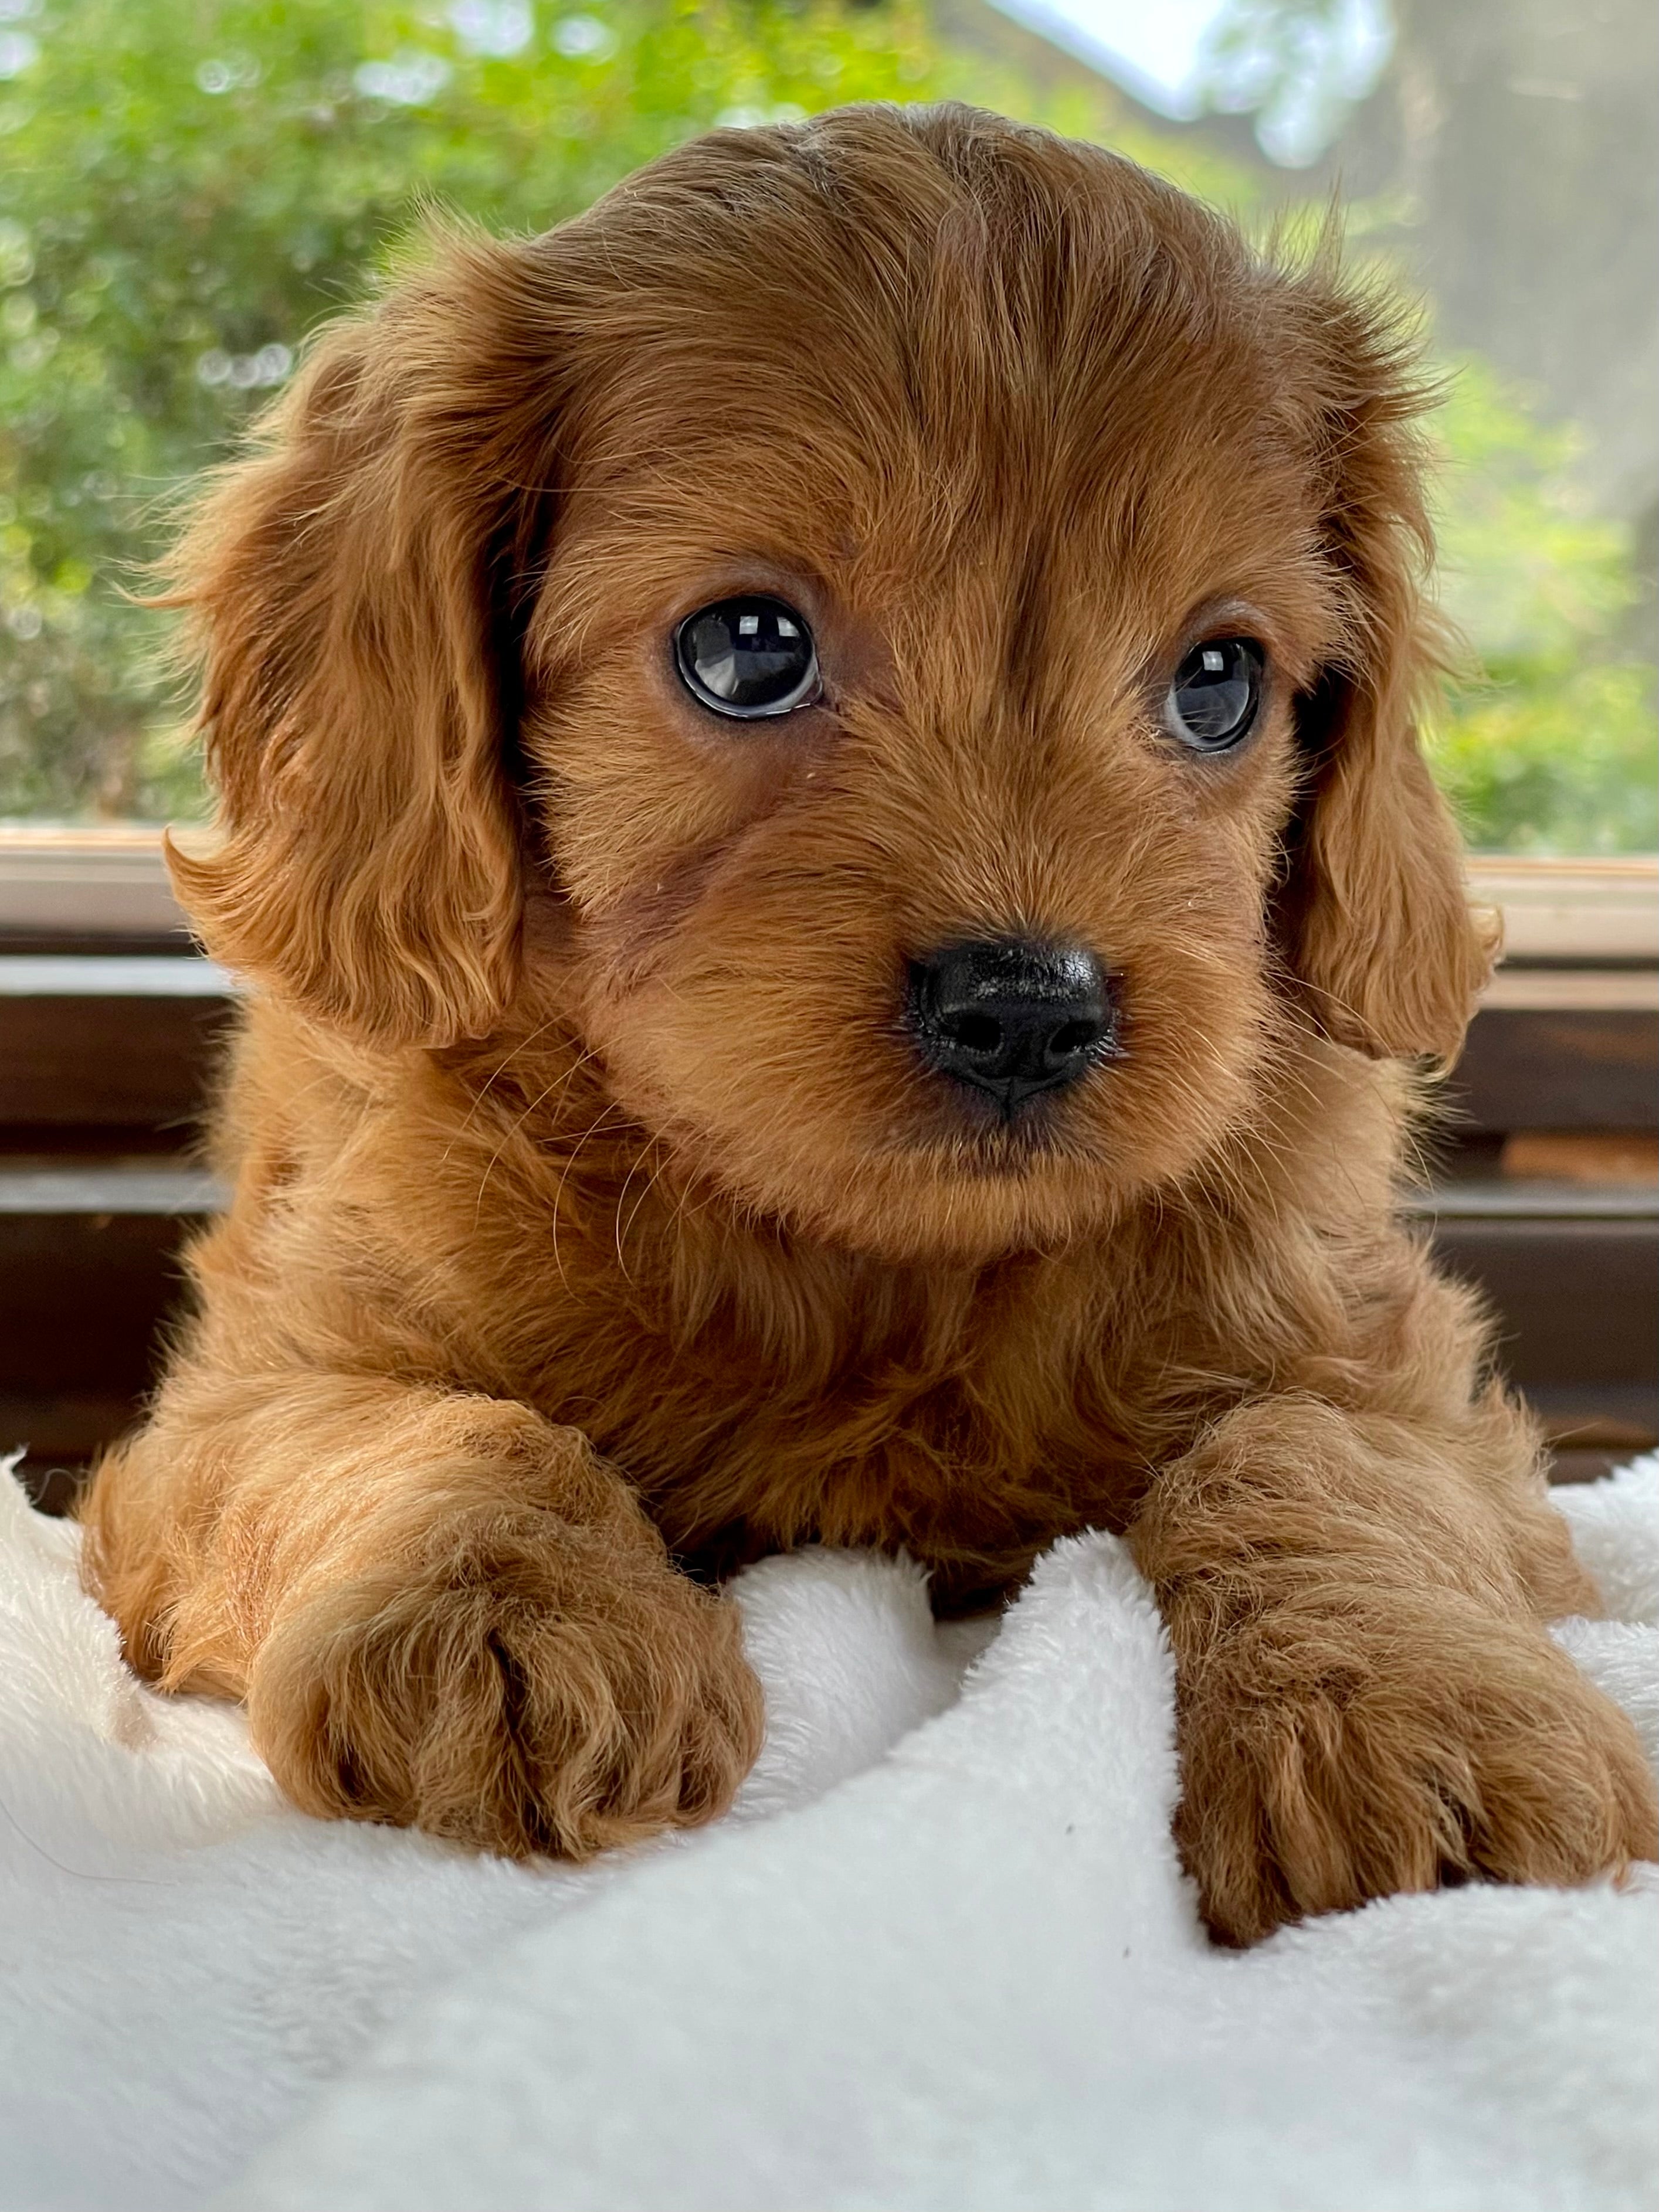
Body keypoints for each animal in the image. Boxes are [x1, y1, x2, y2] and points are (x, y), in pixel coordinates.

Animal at [84, 104, 1654, 1938]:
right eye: (745, 648)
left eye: (1219, 681)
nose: (1026, 1009)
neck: (871, 1269)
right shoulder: (232, 1403)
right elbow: (416, 1424)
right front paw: (504, 1613)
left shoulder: (1403, 1375)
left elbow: (1319, 1451)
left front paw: (1408, 1698)